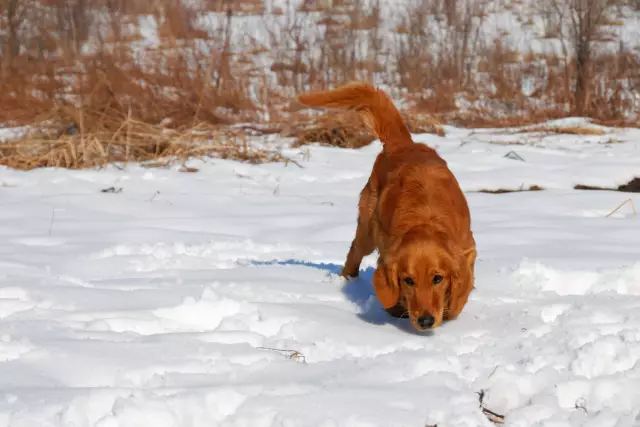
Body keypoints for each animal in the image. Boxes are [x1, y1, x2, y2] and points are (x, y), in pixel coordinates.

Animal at [296, 82, 476, 332]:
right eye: (408, 280)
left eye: (437, 278)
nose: (426, 321)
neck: (425, 220)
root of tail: (404, 144)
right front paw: (397, 310)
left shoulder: (468, 246)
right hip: (368, 229)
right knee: (354, 251)